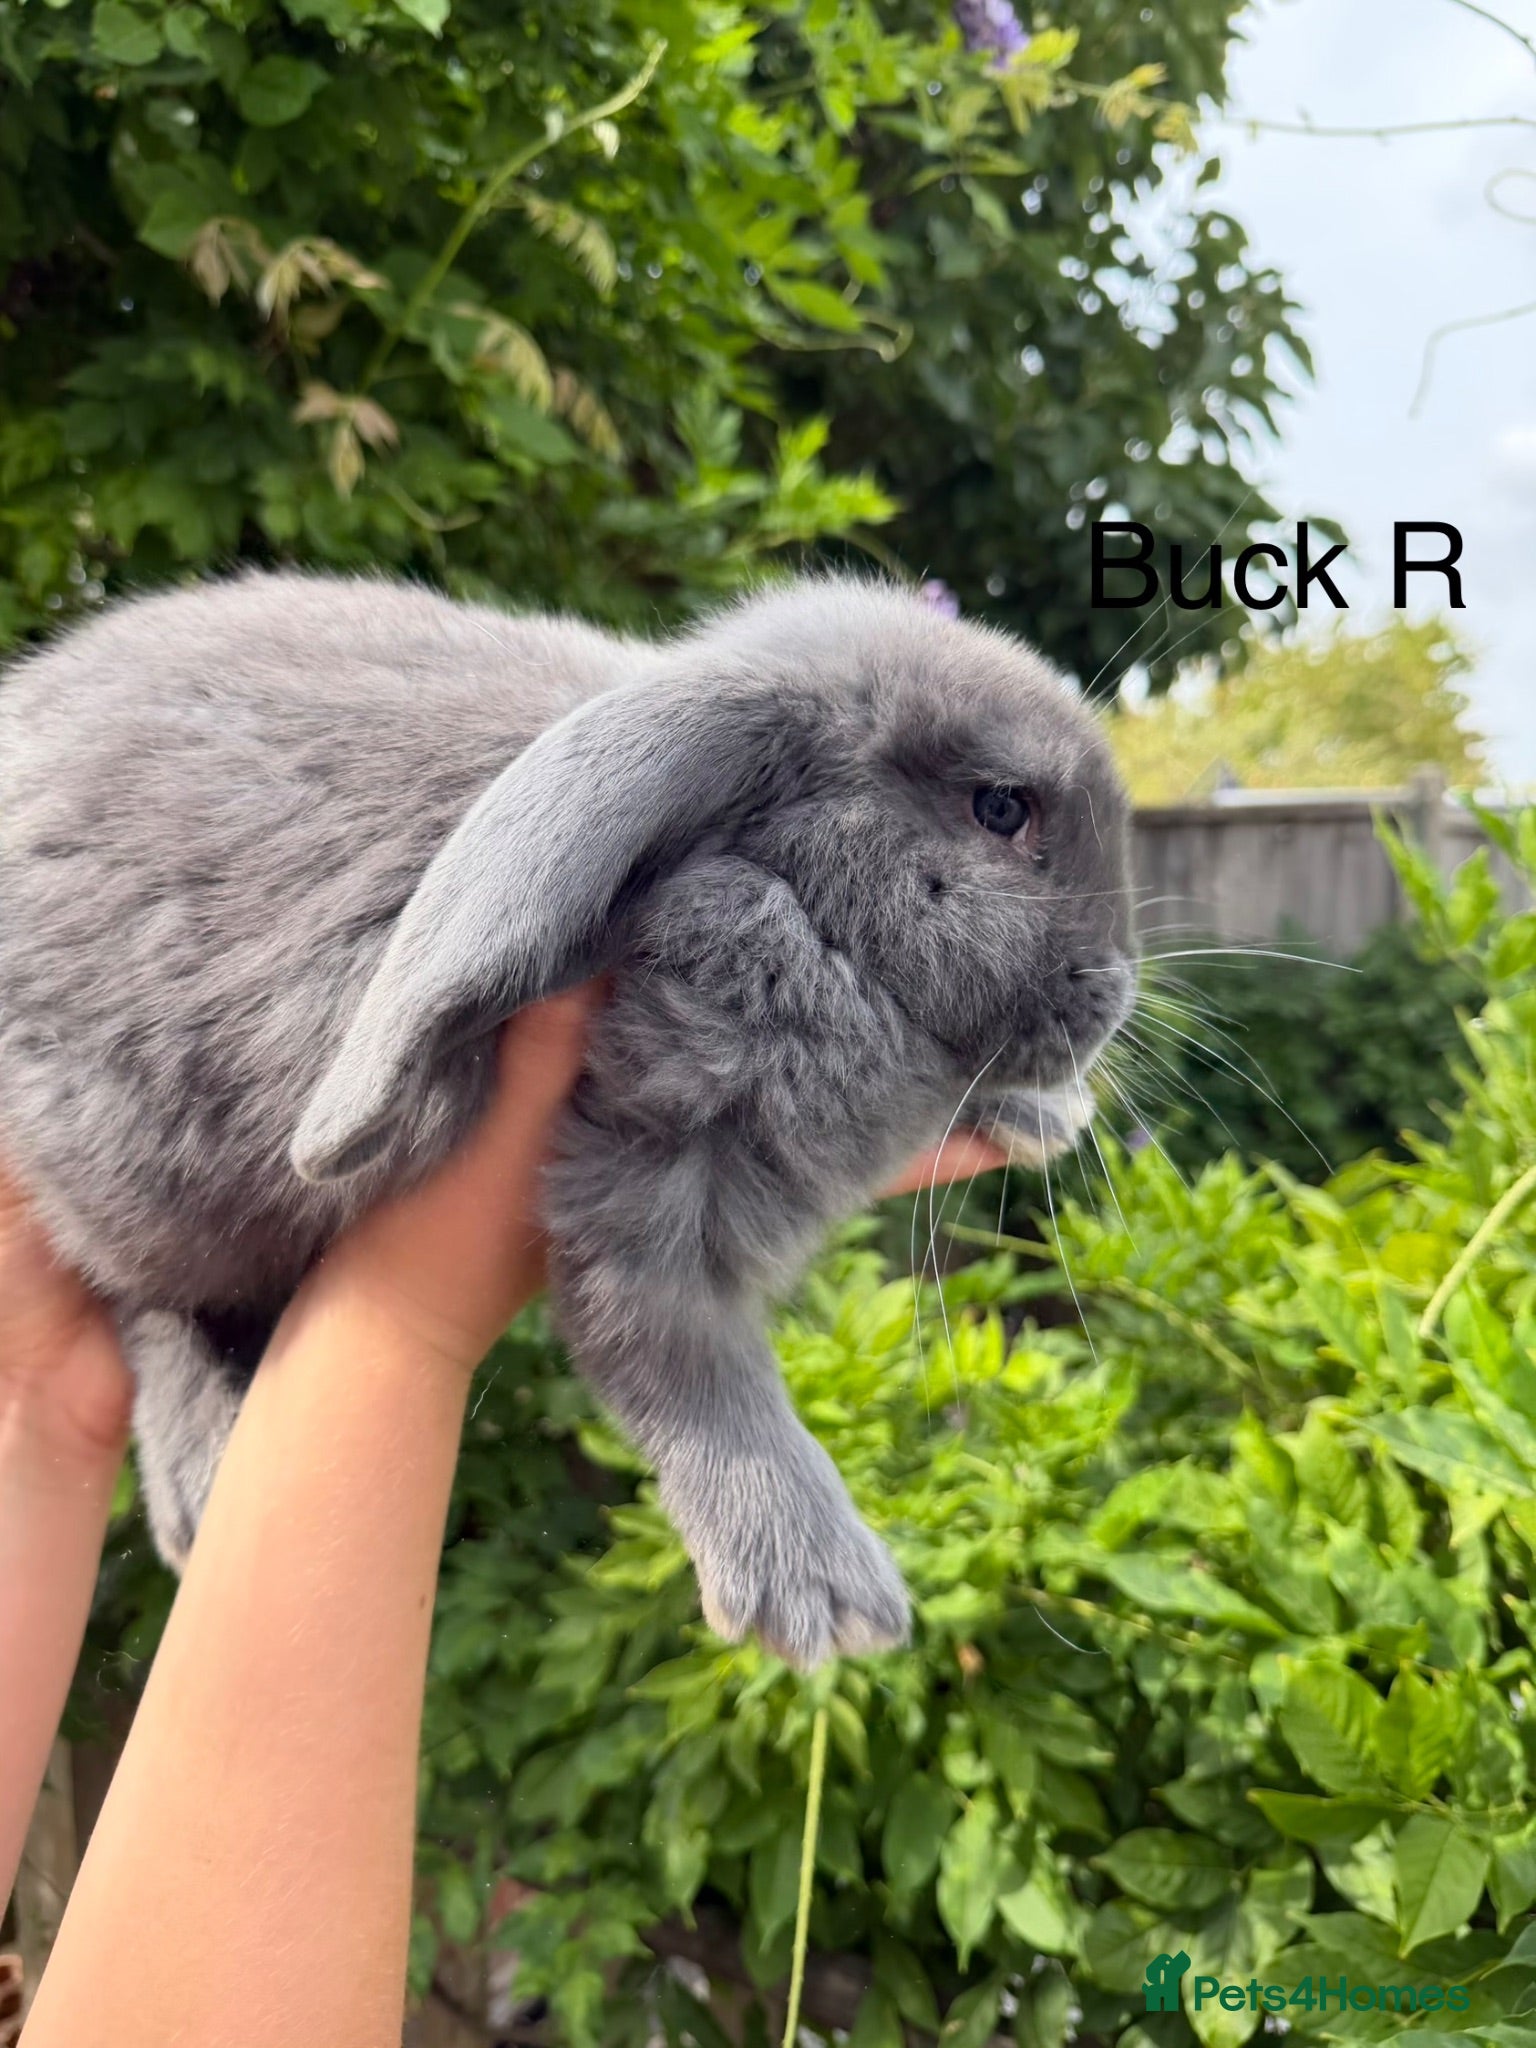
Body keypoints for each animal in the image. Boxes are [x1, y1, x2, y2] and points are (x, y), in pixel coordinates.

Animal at [0, 569, 1136, 1669]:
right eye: (1001, 808)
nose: (1116, 993)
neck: (788, 888)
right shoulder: (656, 1149)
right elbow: (668, 1343)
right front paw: (821, 1590)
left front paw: (1041, 1108)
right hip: (139, 1183)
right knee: (142, 1304)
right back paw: (199, 1469)